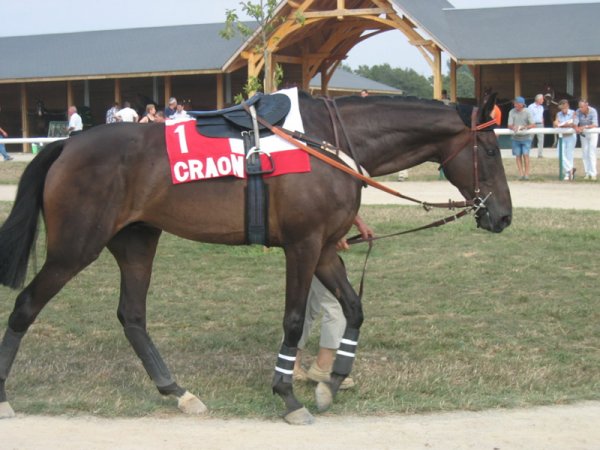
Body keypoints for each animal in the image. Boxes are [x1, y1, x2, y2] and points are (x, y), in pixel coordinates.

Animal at [0, 90, 510, 422]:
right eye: (489, 149)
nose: (502, 215)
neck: (326, 142)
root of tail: (68, 143)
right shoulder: (303, 245)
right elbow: (293, 320)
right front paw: (288, 394)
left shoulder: (325, 249)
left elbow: (353, 309)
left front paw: (331, 382)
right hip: (75, 247)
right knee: (26, 306)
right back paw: (5, 396)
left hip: (137, 240)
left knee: (132, 316)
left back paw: (177, 391)